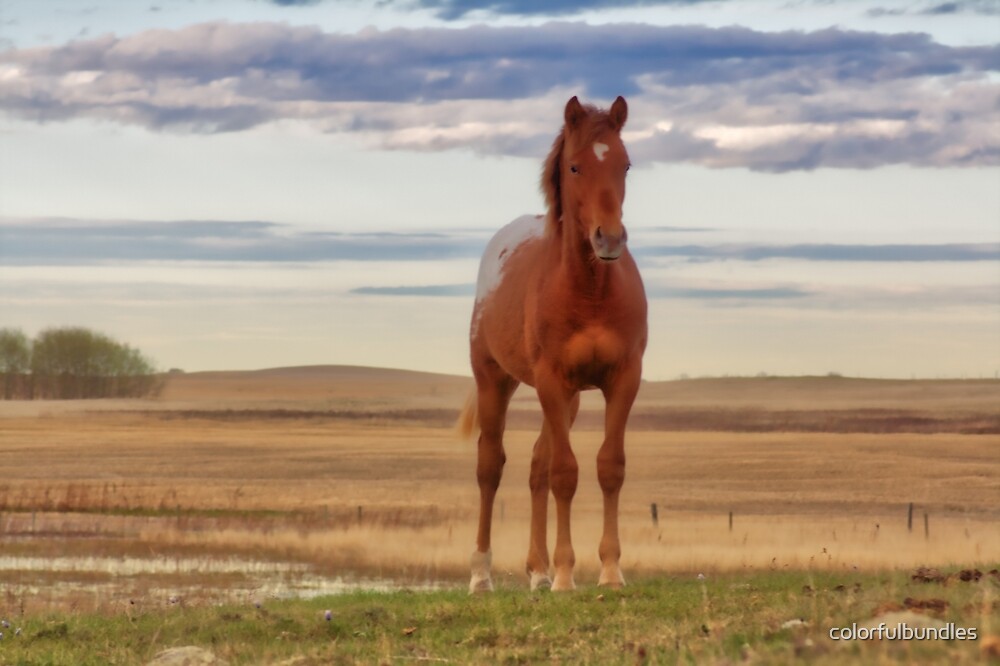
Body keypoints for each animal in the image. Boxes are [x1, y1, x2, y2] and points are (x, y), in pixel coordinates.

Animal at [458, 96, 648, 593]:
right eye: (575, 166)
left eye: (625, 164)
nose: (610, 238)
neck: (590, 290)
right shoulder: (551, 380)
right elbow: (566, 473)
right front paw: (566, 572)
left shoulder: (623, 379)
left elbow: (609, 467)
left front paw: (609, 569)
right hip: (496, 381)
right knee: (490, 465)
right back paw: (481, 573)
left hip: (568, 399)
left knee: (536, 467)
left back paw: (537, 570)